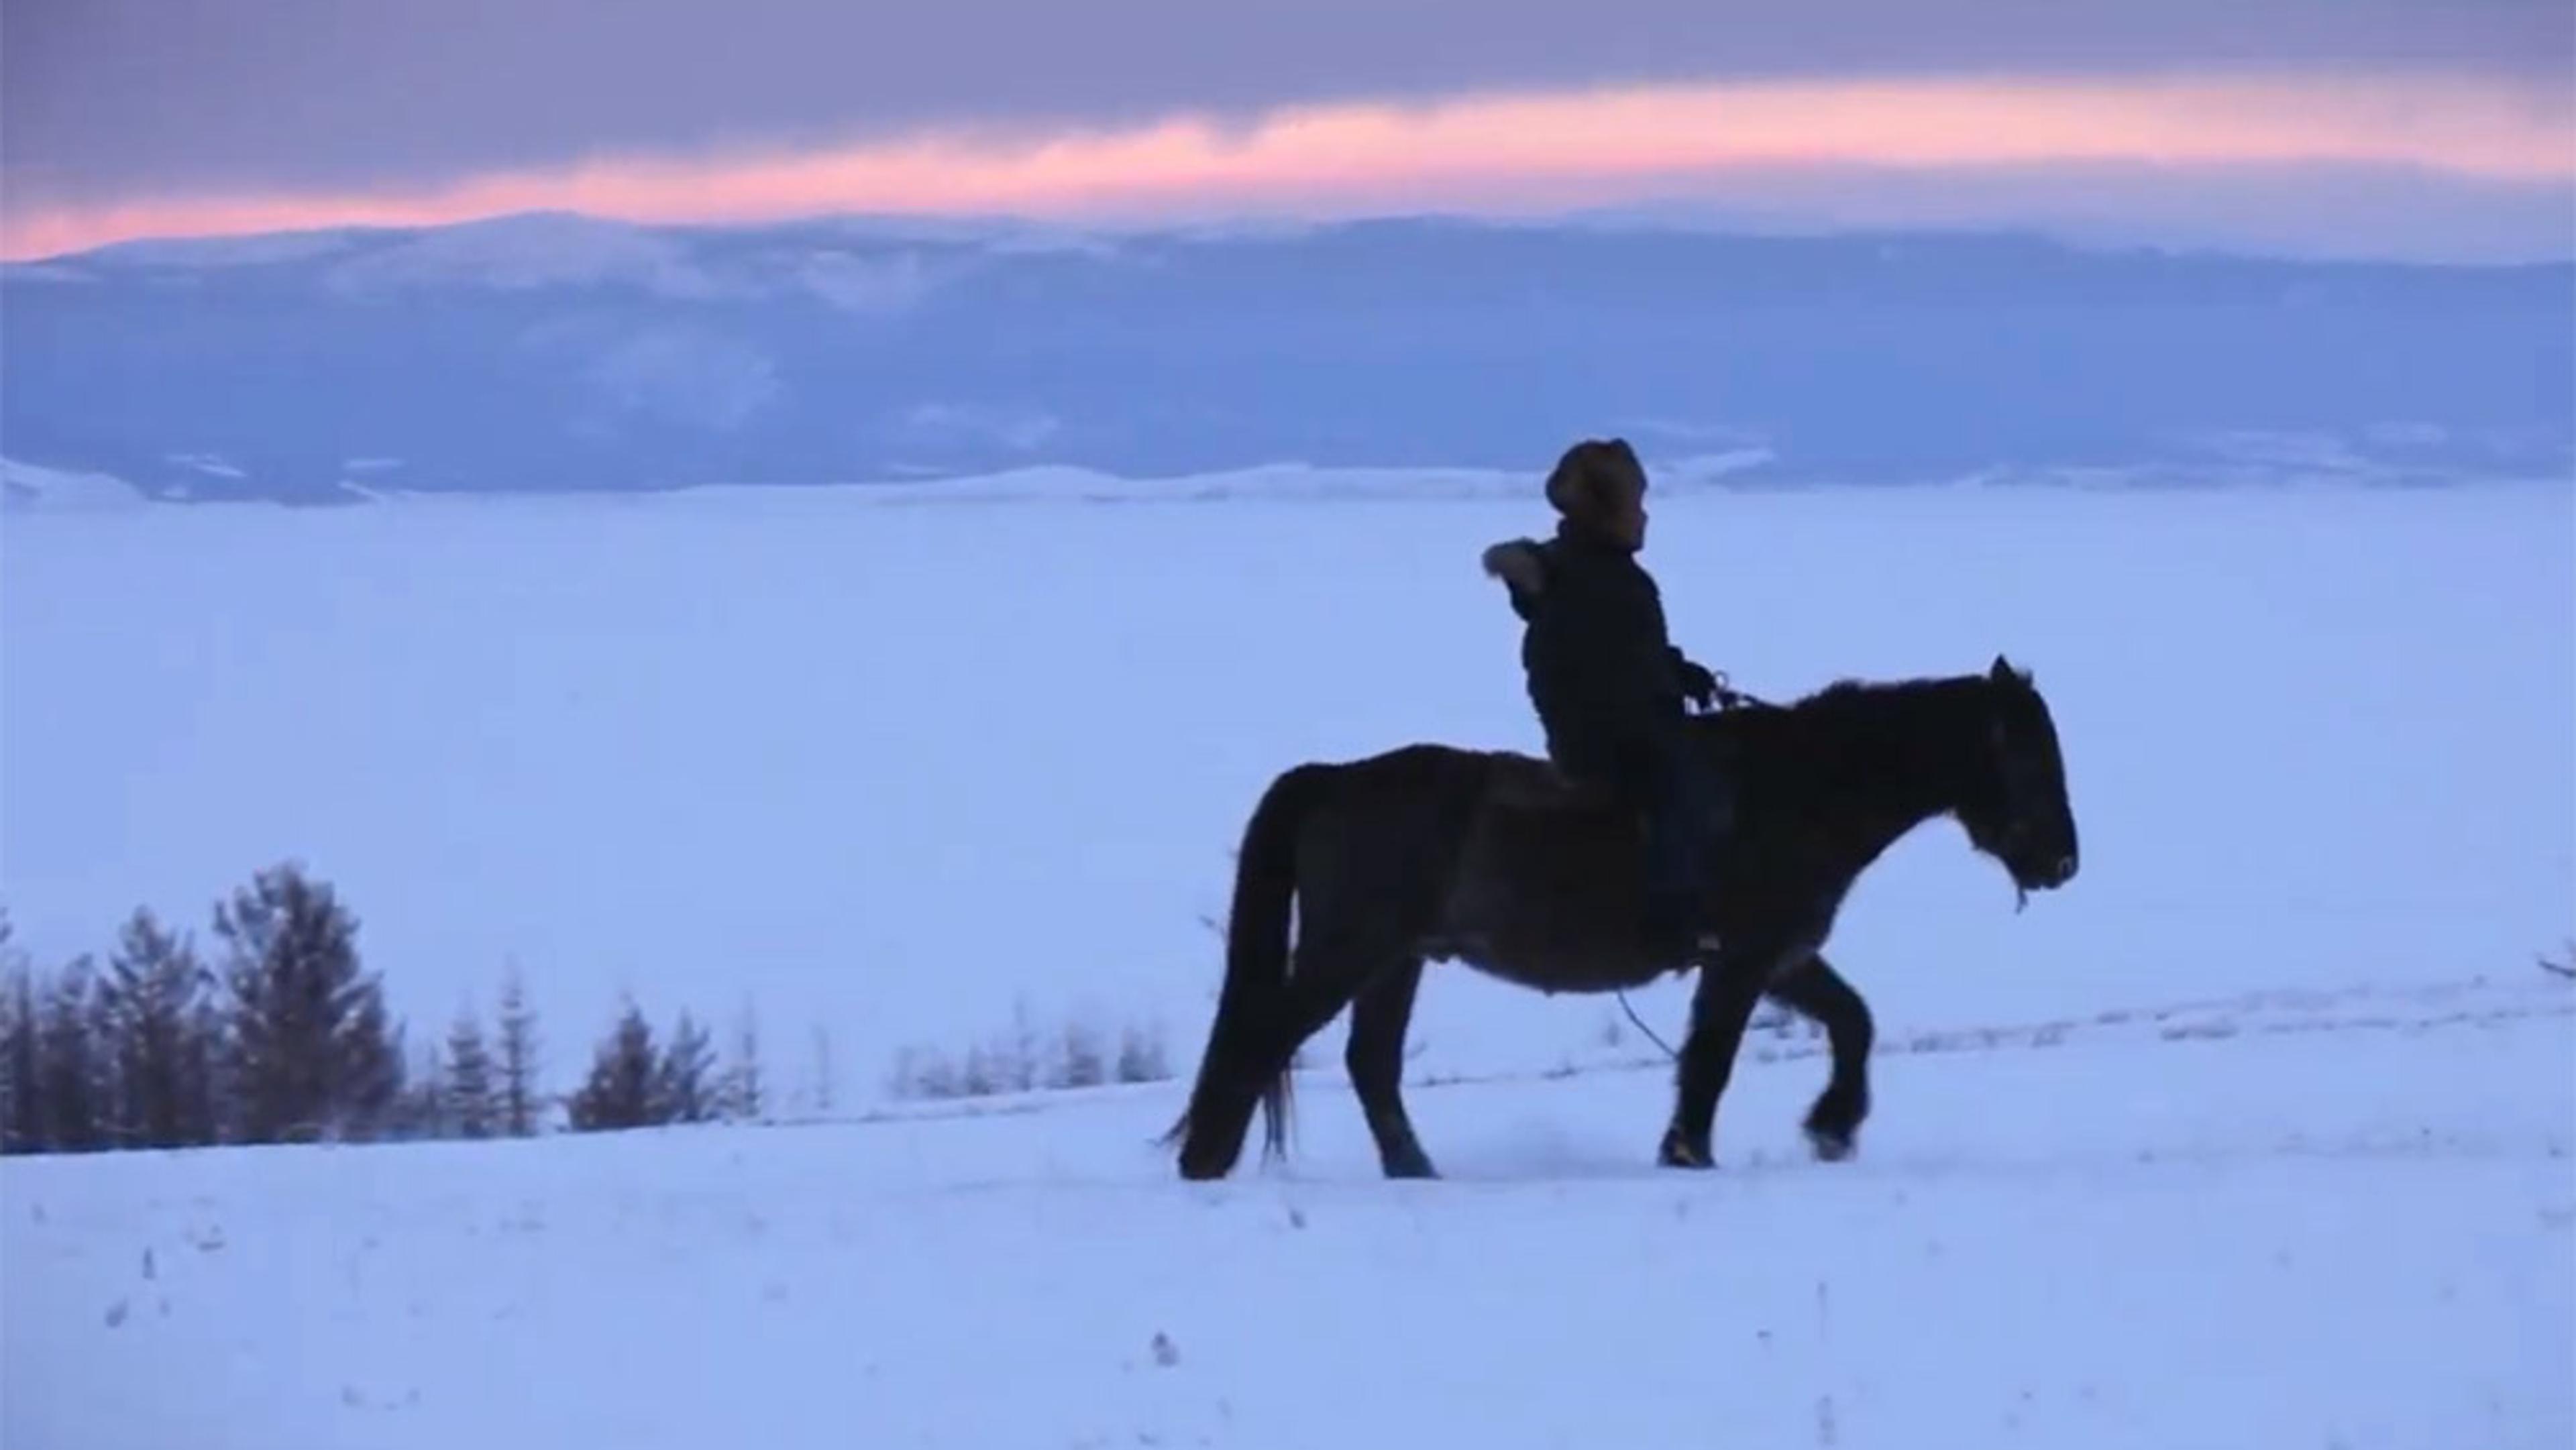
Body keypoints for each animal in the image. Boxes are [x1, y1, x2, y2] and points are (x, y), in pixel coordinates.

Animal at [1161, 654, 2079, 1180]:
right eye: (2030, 757)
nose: (2064, 861)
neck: (1803, 789)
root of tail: (1335, 778)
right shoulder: (1744, 958)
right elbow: (1711, 1060)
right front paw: (1691, 1154)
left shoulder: (1781, 956)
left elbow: (1853, 1021)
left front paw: (1831, 1127)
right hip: (1352, 950)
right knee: (1265, 1036)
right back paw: (1205, 1163)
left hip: (1396, 959)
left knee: (1369, 1063)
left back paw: (1414, 1170)